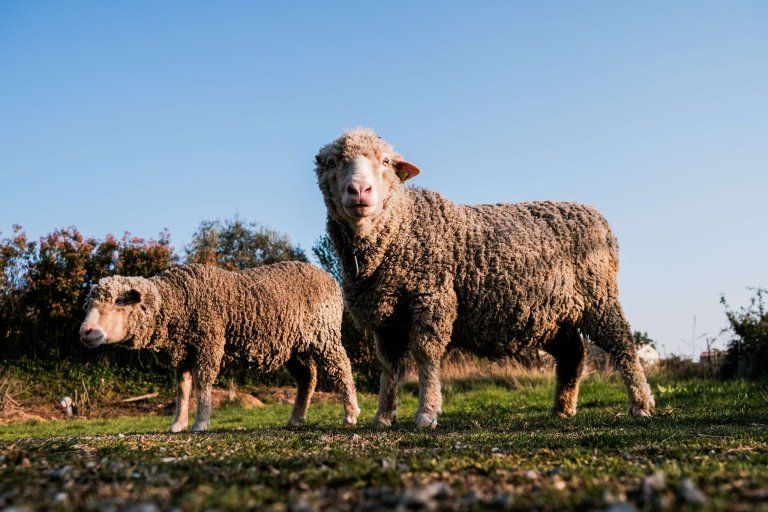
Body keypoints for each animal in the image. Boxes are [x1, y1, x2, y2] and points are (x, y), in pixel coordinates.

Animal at [79, 262, 360, 432]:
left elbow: (202, 384)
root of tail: (327, 275)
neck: (177, 301)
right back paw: (295, 419)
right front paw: (177, 424)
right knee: (307, 378)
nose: (85, 332)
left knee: (342, 369)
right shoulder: (183, 353)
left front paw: (201, 423)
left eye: (118, 301)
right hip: (294, 346)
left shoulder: (208, 343)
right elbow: (182, 389)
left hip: (325, 333)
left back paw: (350, 414)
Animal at [314, 127, 654, 428]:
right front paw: (384, 416)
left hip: (599, 296)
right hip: (552, 314)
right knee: (573, 353)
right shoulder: (385, 319)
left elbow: (425, 355)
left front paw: (426, 413)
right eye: (332, 163)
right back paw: (562, 408)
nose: (359, 191)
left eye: (385, 161)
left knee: (623, 345)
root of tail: (593, 212)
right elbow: (389, 367)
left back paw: (641, 404)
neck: (401, 226)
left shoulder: (432, 297)